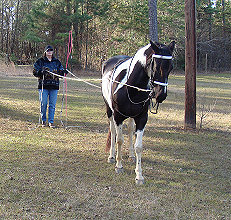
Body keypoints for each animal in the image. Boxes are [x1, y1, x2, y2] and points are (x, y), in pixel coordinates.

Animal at [101, 40, 175, 184]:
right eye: (156, 66)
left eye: (171, 67)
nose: (161, 95)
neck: (131, 87)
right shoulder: (118, 117)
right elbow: (119, 140)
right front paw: (119, 166)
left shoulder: (141, 118)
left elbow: (138, 146)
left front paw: (139, 175)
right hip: (109, 111)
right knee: (113, 131)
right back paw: (112, 156)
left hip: (131, 116)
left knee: (130, 130)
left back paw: (131, 155)